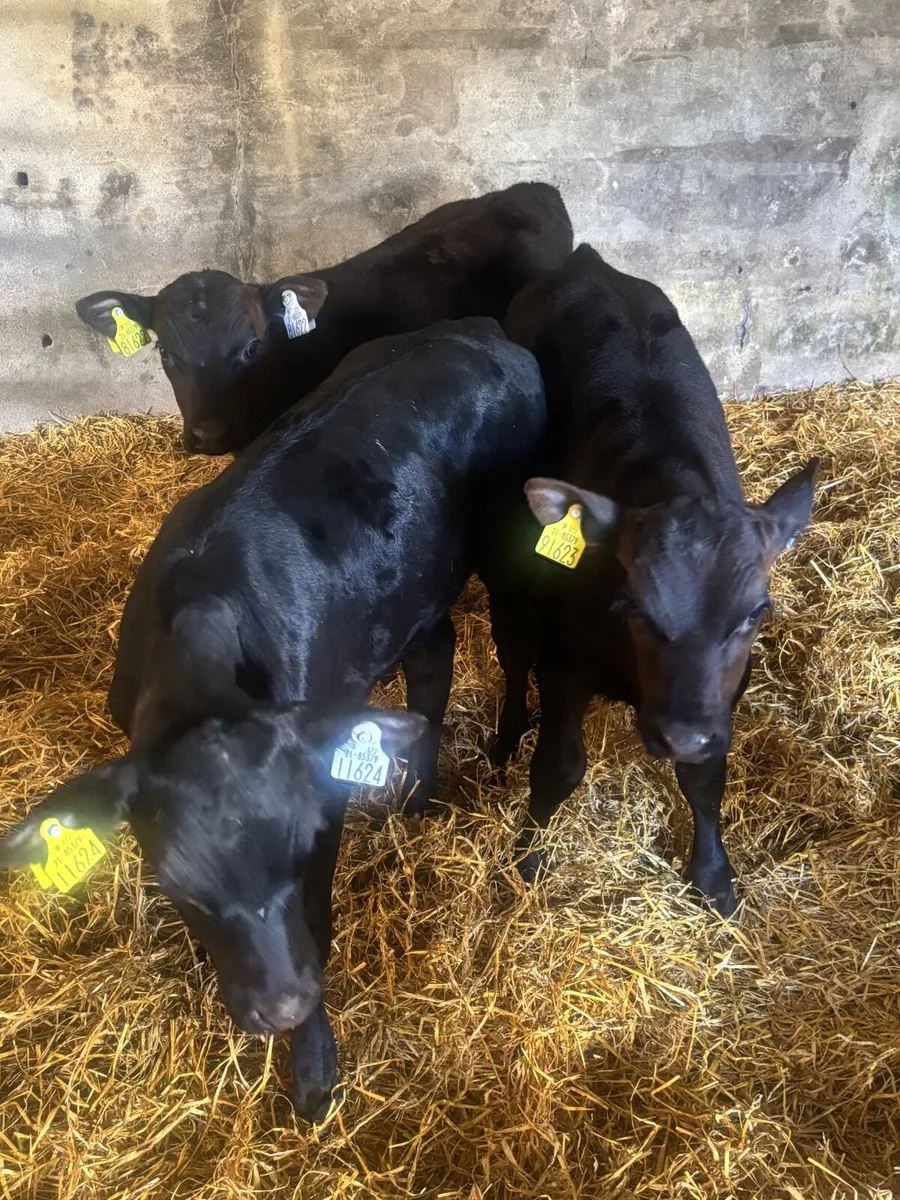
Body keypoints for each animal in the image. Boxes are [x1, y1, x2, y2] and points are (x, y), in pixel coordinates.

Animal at [0, 318, 547, 1121]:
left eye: (301, 854)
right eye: (180, 887)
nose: (280, 1007)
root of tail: (479, 328)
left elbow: (315, 929)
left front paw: (314, 1072)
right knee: (432, 655)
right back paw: (416, 794)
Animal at [486, 244, 819, 917]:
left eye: (755, 614)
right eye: (635, 606)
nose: (682, 733)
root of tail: (589, 261)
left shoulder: (722, 697)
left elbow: (704, 778)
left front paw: (714, 874)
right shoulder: (563, 663)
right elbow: (558, 767)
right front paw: (528, 856)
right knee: (512, 658)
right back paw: (507, 735)